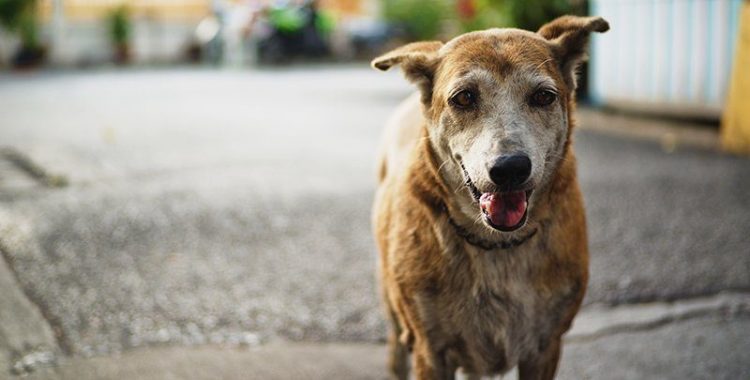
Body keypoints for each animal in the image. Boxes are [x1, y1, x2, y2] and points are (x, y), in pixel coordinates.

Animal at [370, 15, 612, 380]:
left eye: (543, 96)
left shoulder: (545, 347)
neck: (497, 245)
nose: (510, 168)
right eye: (464, 98)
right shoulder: (430, 350)